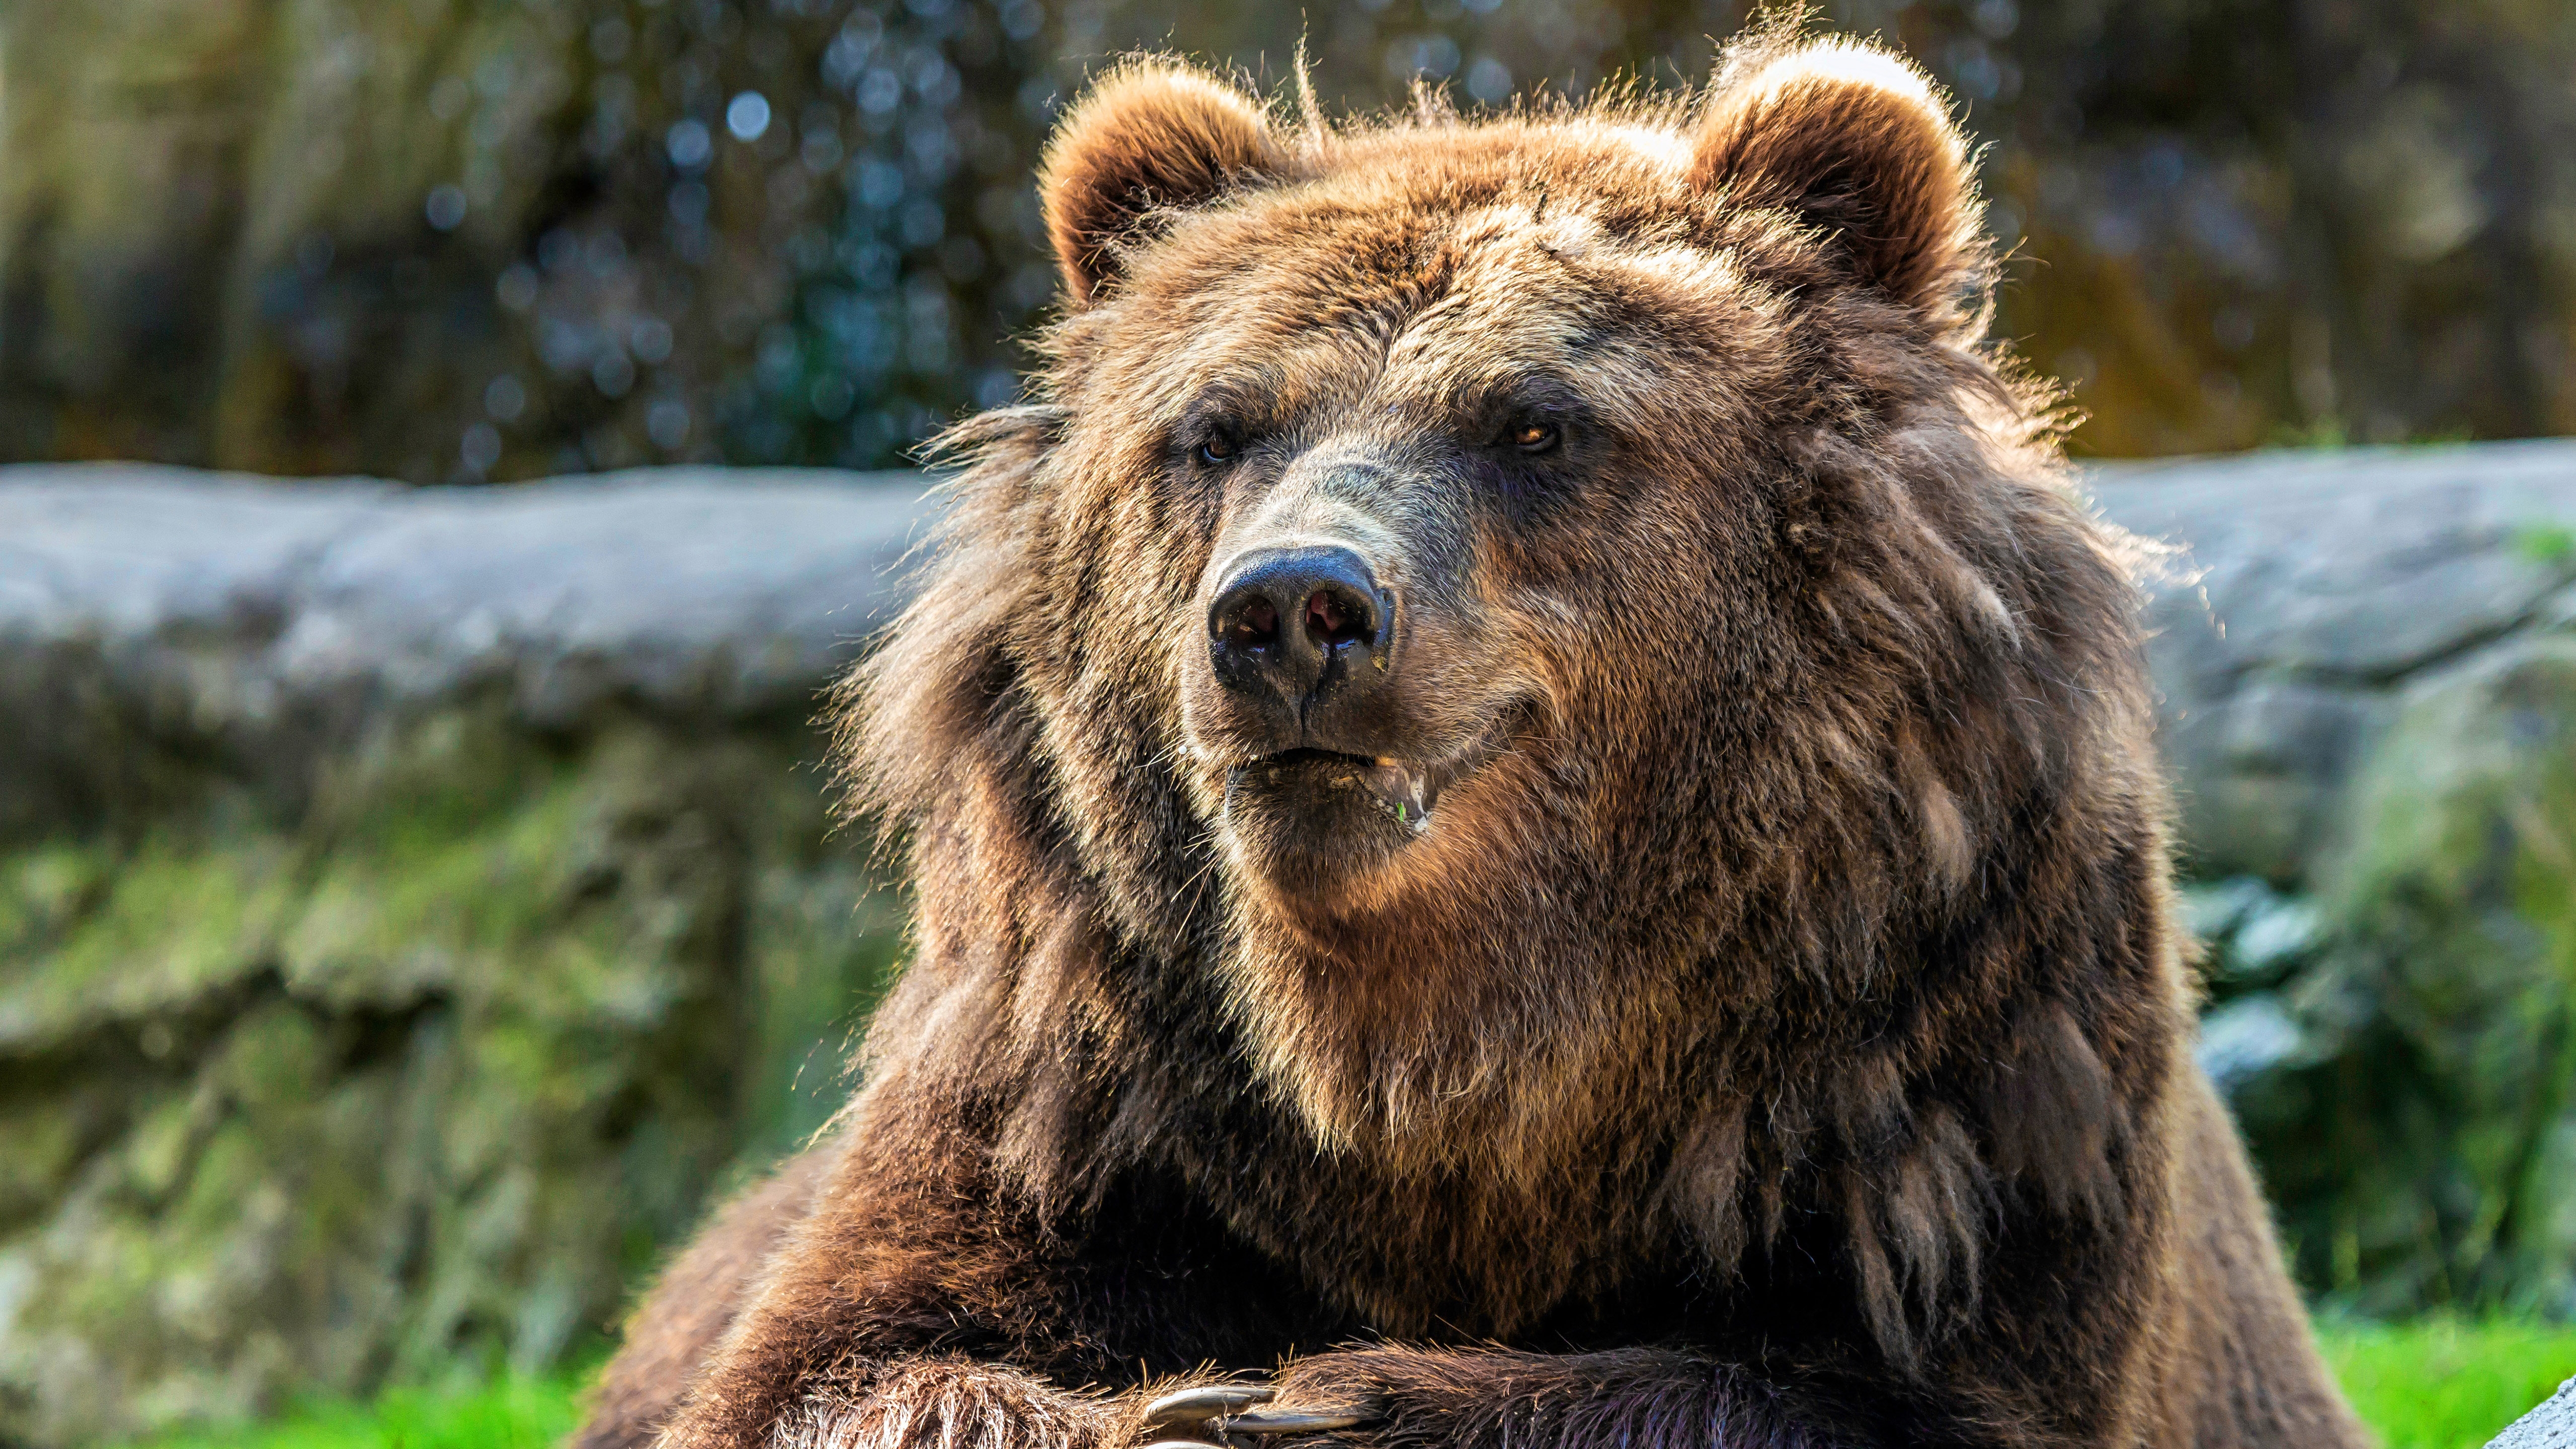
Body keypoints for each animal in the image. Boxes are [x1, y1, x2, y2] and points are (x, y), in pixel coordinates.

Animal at [580, 20, 2370, 1443]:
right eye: (1214, 428)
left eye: (1533, 423)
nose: (1292, 609)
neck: (1454, 1070)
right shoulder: (1081, 1081)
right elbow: (845, 1366)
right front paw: (1178, 1404)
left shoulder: (1951, 1067)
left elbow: (1860, 1391)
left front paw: (1316, 1404)